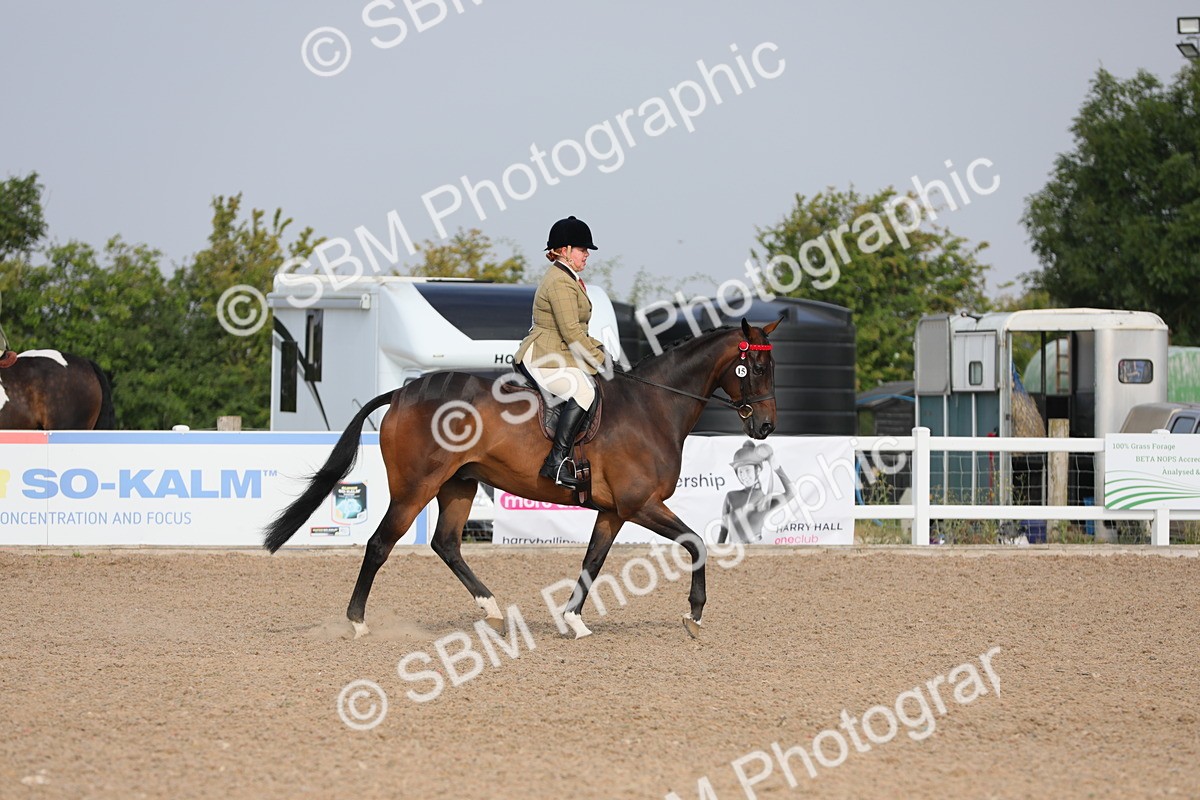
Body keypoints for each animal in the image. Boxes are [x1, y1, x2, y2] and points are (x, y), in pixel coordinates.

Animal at [263, 318, 781, 639]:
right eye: (755, 367)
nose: (765, 427)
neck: (652, 407)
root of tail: (403, 392)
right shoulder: (640, 504)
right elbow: (696, 542)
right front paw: (694, 615)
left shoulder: (614, 512)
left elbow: (592, 563)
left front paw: (573, 621)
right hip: (415, 488)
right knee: (379, 545)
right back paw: (357, 623)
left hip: (459, 485)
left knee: (446, 543)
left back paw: (491, 609)